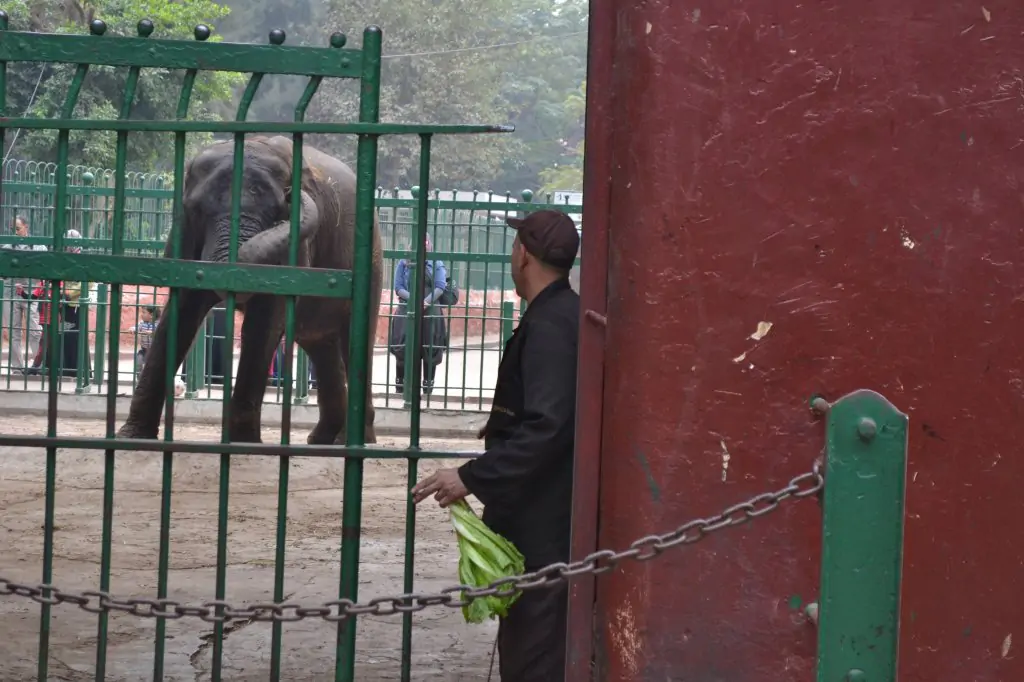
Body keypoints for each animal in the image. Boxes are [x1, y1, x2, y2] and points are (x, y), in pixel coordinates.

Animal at [116, 135, 385, 444]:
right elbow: (179, 312)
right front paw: (131, 437)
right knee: (319, 344)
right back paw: (321, 440)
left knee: (354, 338)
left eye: (278, 210)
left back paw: (351, 441)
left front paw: (242, 442)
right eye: (196, 209)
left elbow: (263, 322)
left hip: (372, 260)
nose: (292, 194)